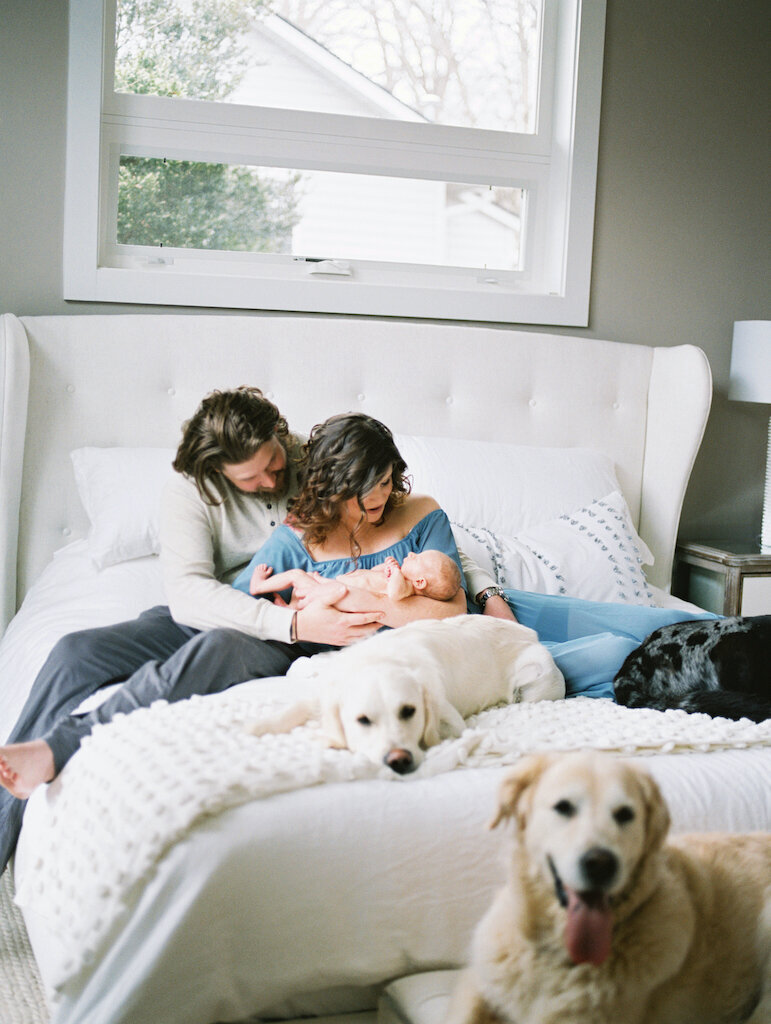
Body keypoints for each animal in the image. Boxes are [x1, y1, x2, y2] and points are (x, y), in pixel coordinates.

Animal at [249, 610, 561, 770]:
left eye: (409, 712)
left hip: (539, 677)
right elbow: (298, 705)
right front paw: (262, 725)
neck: (380, 660)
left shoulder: (451, 719)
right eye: (363, 720)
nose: (399, 760)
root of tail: (531, 633)